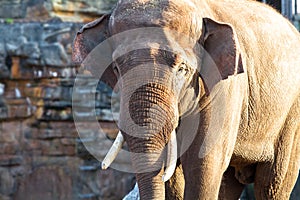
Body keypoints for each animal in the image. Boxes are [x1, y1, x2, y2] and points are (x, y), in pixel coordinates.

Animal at [72, 0, 300, 200]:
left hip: (291, 119)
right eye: (116, 68)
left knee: (272, 184)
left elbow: (202, 167)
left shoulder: (223, 91)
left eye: (182, 69)